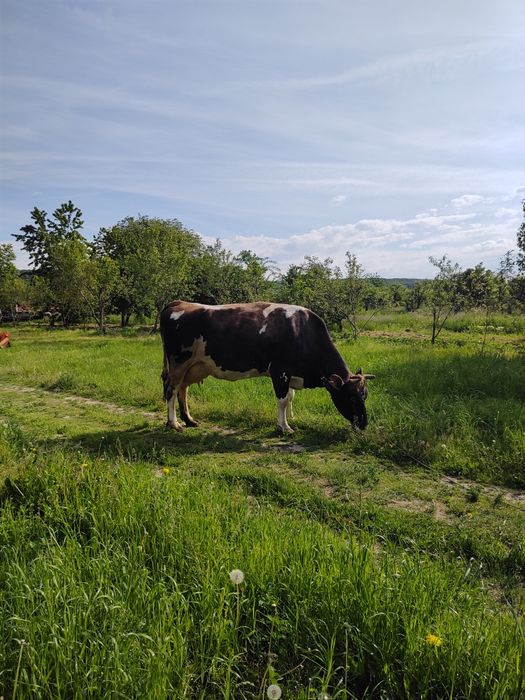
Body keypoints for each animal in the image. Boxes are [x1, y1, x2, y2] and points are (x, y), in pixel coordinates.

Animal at [160, 300, 374, 433]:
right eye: (352, 398)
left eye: (365, 395)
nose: (364, 424)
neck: (301, 331)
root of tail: (179, 302)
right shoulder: (280, 372)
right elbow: (282, 400)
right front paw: (284, 427)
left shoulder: (290, 375)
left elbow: (290, 398)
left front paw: (288, 420)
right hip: (178, 362)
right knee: (171, 390)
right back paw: (174, 423)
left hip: (193, 366)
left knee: (182, 389)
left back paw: (189, 420)